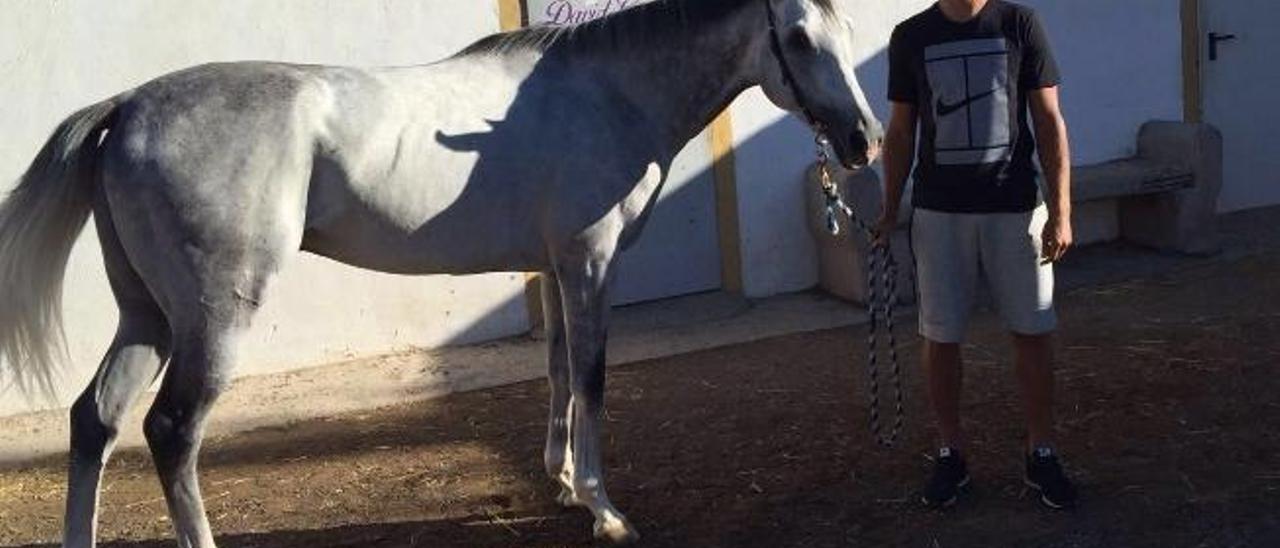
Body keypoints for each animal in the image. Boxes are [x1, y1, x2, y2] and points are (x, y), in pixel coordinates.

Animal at [0, 0, 880, 542]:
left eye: (844, 29)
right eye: (800, 37)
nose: (863, 140)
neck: (609, 92)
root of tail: (126, 106)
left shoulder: (553, 269)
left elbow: (559, 374)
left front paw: (564, 483)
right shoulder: (590, 263)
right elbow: (593, 380)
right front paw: (604, 509)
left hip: (146, 317)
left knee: (96, 421)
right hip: (212, 321)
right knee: (171, 432)